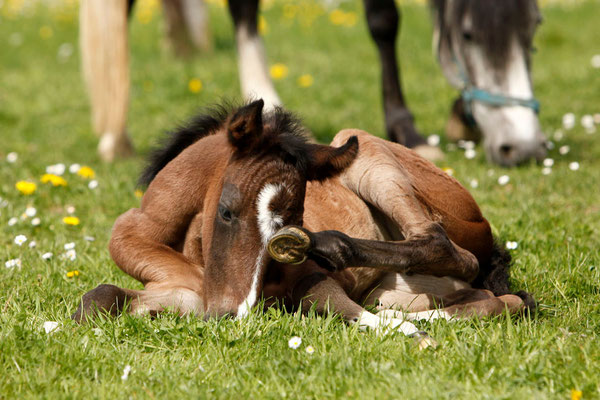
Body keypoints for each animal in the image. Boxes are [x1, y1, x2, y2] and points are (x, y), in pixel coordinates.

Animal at [72, 99, 532, 344]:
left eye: (292, 221)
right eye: (226, 211)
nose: (232, 316)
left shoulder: (302, 279)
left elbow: (326, 299)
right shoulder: (179, 292)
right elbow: (100, 297)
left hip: (366, 152)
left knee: (455, 257)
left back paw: (336, 246)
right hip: (400, 288)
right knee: (488, 297)